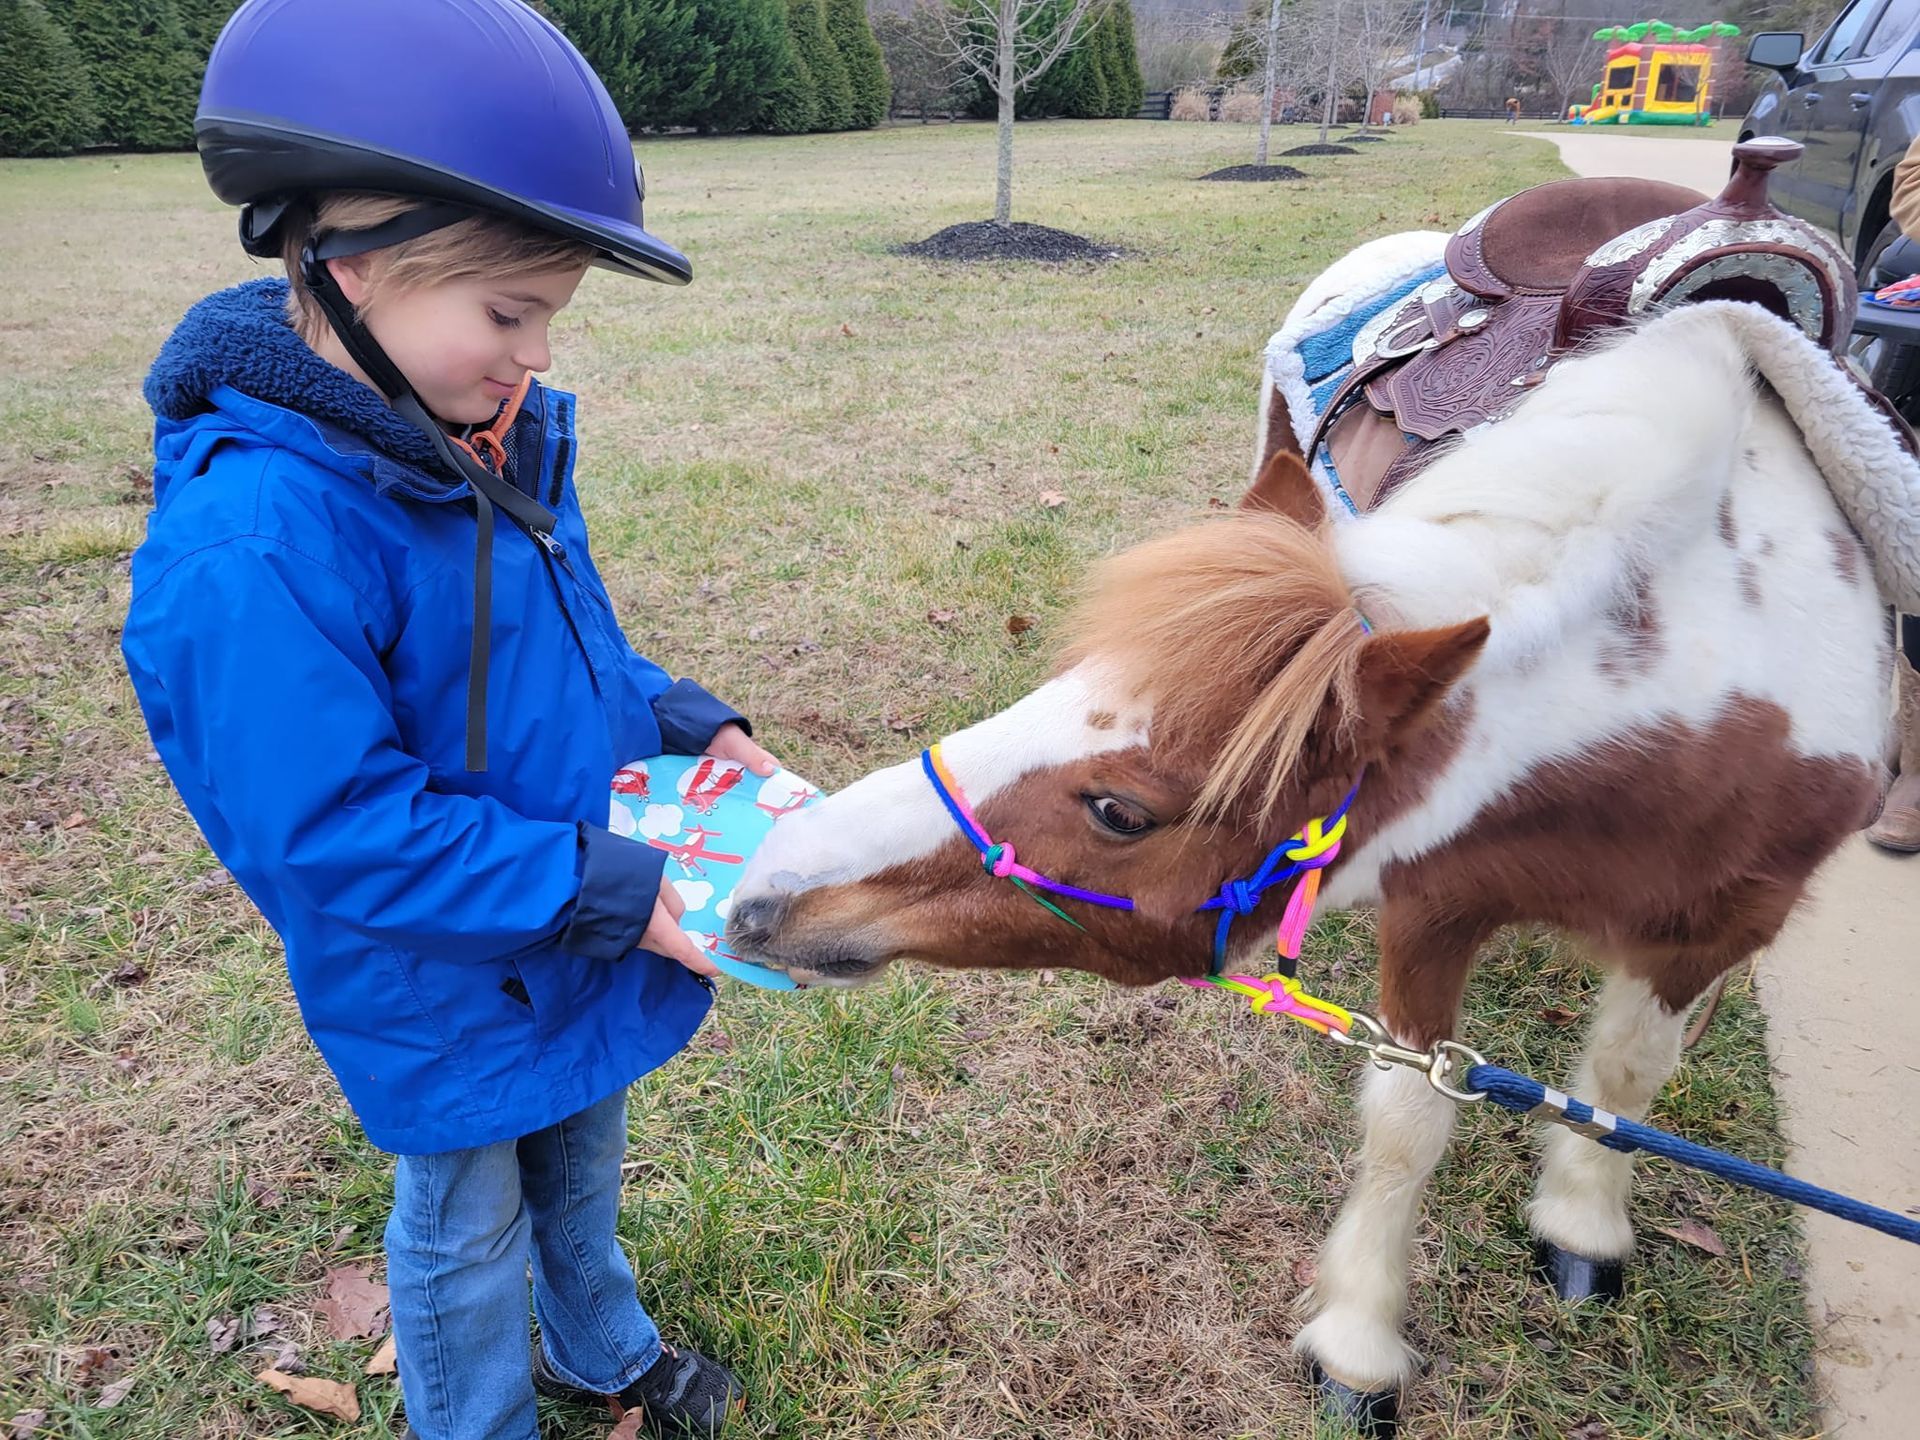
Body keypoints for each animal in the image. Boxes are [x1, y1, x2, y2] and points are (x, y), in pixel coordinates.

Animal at [725, 289, 1907, 1430]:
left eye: (1119, 811)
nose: (761, 891)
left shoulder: (1726, 918)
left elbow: (1624, 1075)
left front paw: (1582, 1224)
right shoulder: (1435, 903)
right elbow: (1409, 1122)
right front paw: (1360, 1343)